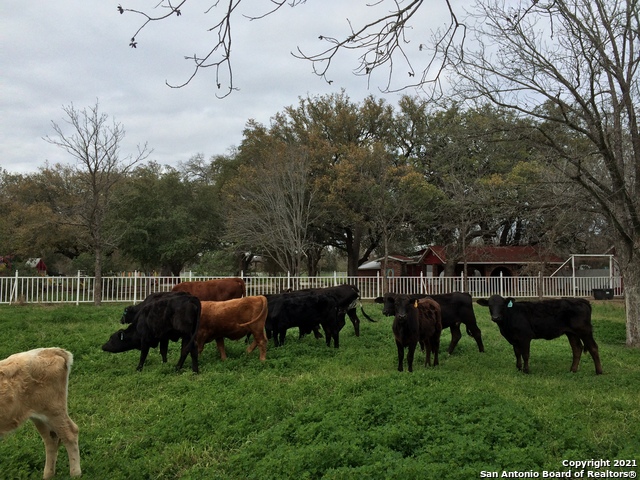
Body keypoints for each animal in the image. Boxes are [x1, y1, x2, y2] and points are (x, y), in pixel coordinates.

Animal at [0, 346, 82, 478]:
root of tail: (50, 350)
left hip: (54, 410)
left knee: (70, 433)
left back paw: (75, 474)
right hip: (39, 416)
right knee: (51, 439)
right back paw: (48, 475)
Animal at [476, 292, 604, 376]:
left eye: (502, 305)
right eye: (490, 305)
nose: (496, 317)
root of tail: (581, 300)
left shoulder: (525, 337)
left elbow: (525, 354)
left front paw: (526, 370)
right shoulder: (514, 339)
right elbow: (517, 354)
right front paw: (518, 368)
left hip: (584, 331)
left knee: (593, 347)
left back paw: (599, 372)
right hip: (571, 333)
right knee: (577, 348)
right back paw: (572, 370)